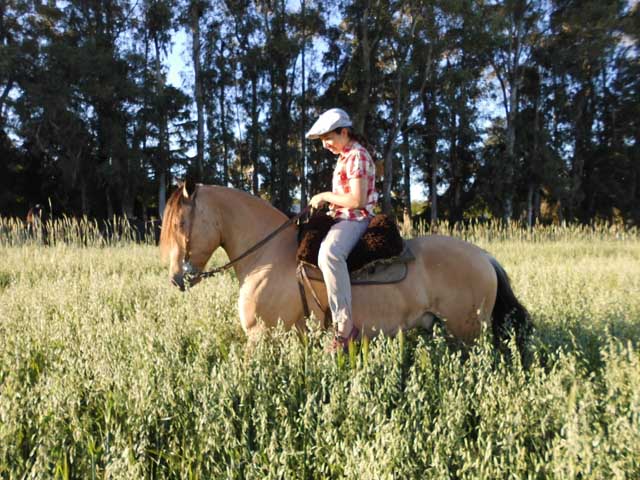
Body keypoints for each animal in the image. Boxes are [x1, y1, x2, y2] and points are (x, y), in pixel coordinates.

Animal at [160, 180, 528, 348]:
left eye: (179, 223)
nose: (177, 278)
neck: (265, 256)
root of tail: (484, 256)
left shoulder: (261, 337)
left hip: (467, 334)